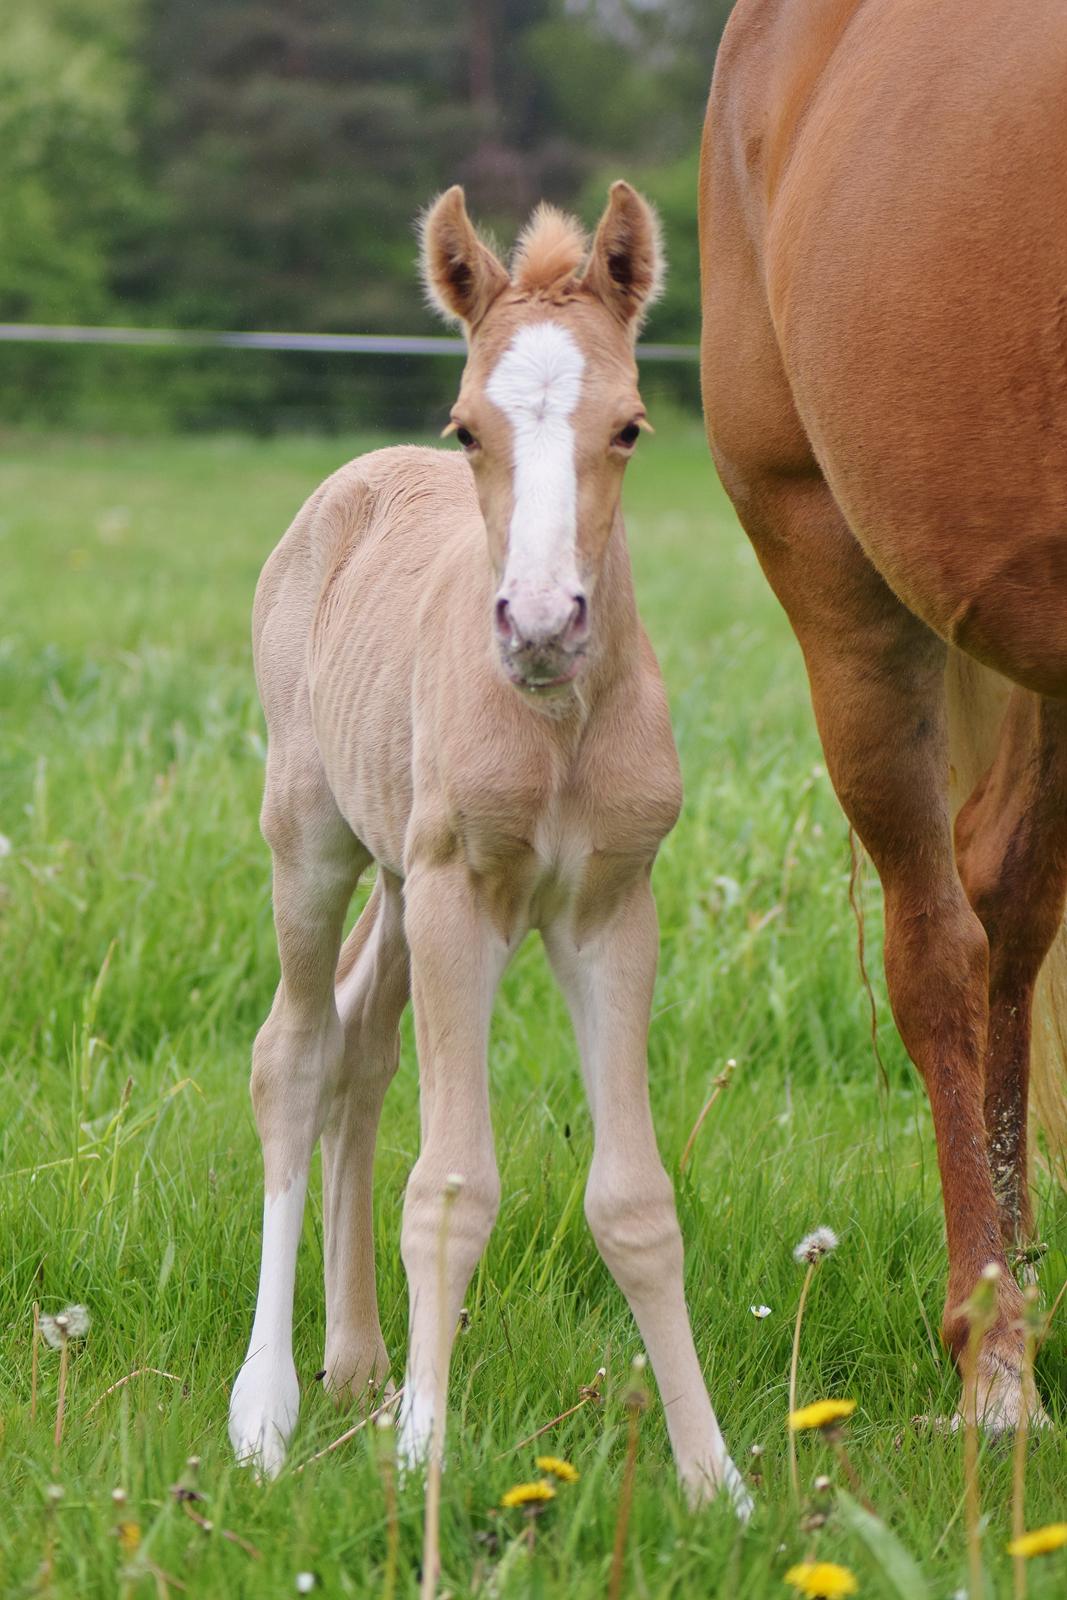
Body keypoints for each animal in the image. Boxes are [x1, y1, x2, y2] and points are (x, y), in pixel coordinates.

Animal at [227, 184, 751, 1510]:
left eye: (630, 426)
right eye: (466, 427)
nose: (542, 627)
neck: (556, 727)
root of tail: (351, 480)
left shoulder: (610, 905)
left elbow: (636, 1201)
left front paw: (713, 1477)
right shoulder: (462, 891)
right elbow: (453, 1182)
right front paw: (423, 1451)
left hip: (399, 876)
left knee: (359, 1047)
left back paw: (357, 1360)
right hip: (313, 839)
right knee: (293, 1052)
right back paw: (267, 1405)